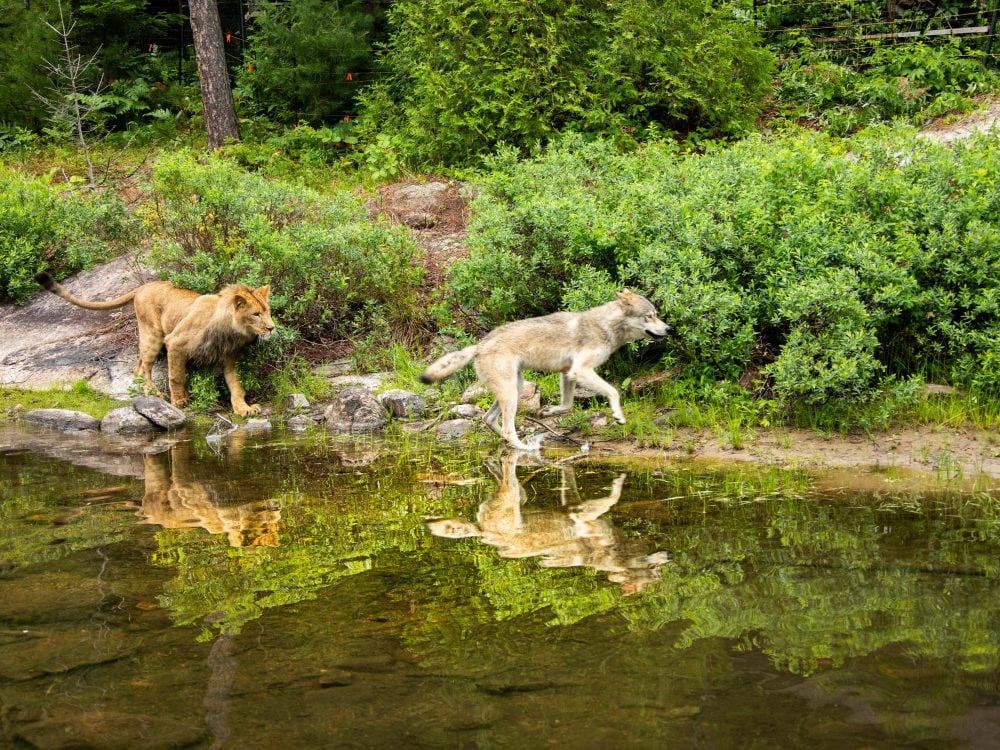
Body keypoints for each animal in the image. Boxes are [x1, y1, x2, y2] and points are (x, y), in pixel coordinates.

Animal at [35, 274, 276, 420]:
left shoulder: (229, 357)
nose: (272, 328)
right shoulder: (175, 342)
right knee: (145, 367)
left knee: (138, 366)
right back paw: (153, 392)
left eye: (268, 311)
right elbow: (176, 375)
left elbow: (236, 385)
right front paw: (179, 400)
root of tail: (144, 286)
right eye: (256, 314)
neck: (231, 330)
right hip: (153, 335)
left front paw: (244, 408)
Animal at [418, 290, 668, 450]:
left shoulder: (568, 373)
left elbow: (567, 405)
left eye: (656, 314)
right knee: (507, 429)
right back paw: (524, 448)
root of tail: (479, 346)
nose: (669, 329)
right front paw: (618, 415)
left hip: (516, 388)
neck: (605, 326)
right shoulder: (581, 370)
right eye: (650, 316)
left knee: (489, 420)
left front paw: (547, 412)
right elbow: (614, 391)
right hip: (511, 393)